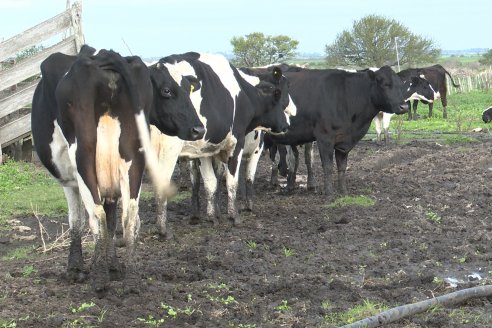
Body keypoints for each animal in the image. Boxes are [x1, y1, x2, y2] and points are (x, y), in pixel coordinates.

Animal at [30, 44, 205, 294]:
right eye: (167, 90)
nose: (198, 129)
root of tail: (106, 55)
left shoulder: (69, 180)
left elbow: (77, 221)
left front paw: (77, 268)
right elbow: (112, 222)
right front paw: (111, 264)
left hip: (84, 159)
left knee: (96, 215)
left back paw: (99, 279)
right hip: (133, 160)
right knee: (129, 215)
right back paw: (131, 280)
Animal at [149, 52, 296, 238]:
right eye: (280, 96)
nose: (287, 123)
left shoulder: (205, 150)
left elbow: (211, 182)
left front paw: (213, 216)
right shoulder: (240, 144)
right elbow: (236, 179)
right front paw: (235, 215)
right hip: (168, 151)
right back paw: (163, 230)